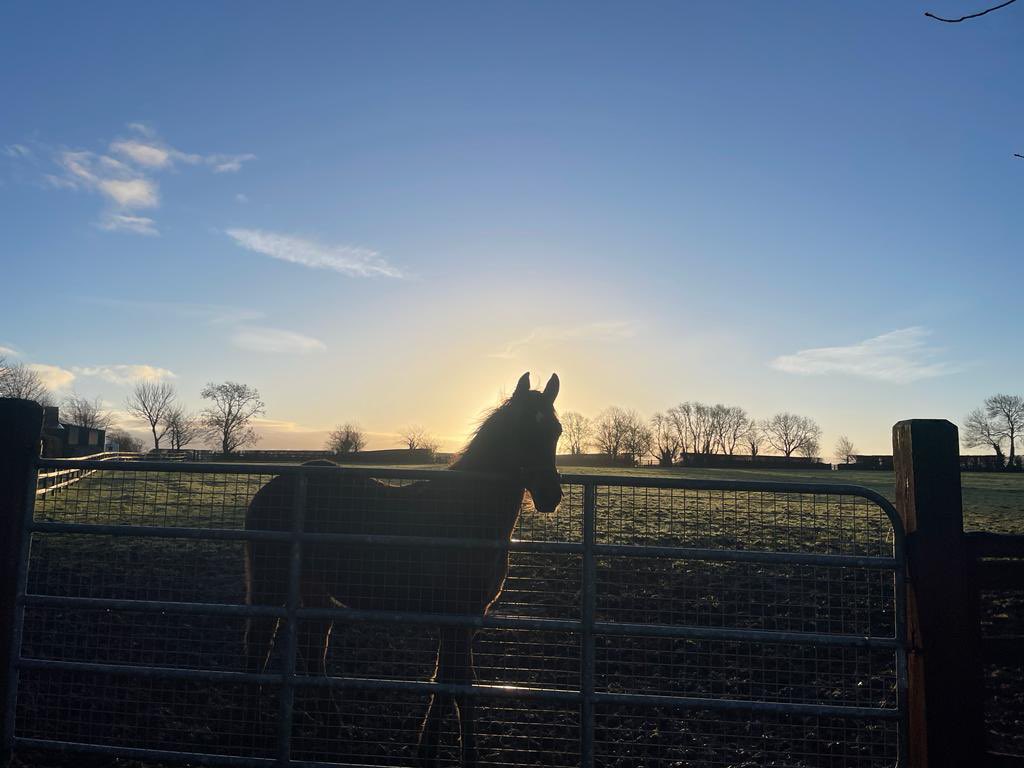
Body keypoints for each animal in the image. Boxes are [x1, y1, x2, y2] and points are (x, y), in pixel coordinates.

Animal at [243, 370, 565, 765]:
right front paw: (448, 753)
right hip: (270, 585)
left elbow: (451, 681)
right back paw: (253, 734)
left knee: (312, 650)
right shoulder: (455, 615)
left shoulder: (470, 615)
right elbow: (457, 685)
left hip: (314, 591)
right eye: (520, 429)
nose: (550, 496)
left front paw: (435, 751)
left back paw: (335, 730)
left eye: (556, 430)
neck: (466, 513)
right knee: (258, 649)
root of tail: (268, 490)